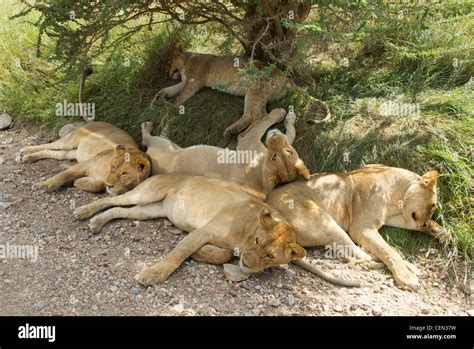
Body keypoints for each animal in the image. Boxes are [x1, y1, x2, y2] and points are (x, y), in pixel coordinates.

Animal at [19, 121, 150, 193]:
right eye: (113, 167)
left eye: (124, 173)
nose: (110, 185)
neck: (106, 171)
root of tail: (96, 121)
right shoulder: (86, 163)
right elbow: (62, 175)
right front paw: (43, 185)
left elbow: (99, 184)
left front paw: (79, 182)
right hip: (69, 141)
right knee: (49, 145)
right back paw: (25, 151)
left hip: (72, 153)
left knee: (55, 153)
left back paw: (28, 157)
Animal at [72, 173, 306, 284]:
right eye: (258, 241)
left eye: (270, 256)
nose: (247, 263)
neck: (248, 234)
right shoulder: (203, 231)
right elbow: (178, 255)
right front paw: (152, 275)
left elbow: (222, 254)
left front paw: (201, 253)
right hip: (146, 193)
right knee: (113, 199)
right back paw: (84, 212)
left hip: (150, 209)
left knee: (119, 209)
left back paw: (97, 222)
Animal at [141, 107, 312, 194]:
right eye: (288, 152)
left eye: (274, 157)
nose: (275, 137)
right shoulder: (250, 140)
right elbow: (285, 131)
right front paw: (285, 115)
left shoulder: (248, 140)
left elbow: (265, 123)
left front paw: (282, 114)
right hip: (168, 144)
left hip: (163, 145)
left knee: (147, 139)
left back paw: (153, 124)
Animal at [264, 164, 450, 290]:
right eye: (433, 205)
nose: (424, 223)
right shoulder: (362, 228)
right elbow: (388, 251)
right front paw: (406, 277)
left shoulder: (395, 217)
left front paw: (442, 233)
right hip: (323, 219)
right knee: (355, 254)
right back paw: (402, 266)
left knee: (348, 252)